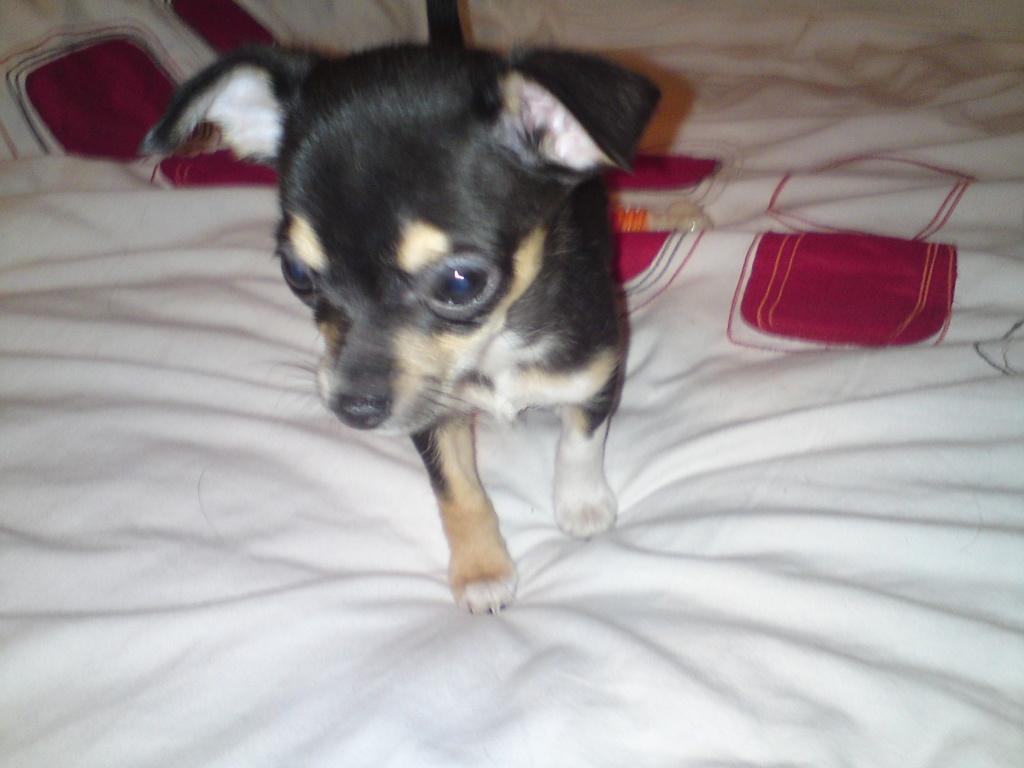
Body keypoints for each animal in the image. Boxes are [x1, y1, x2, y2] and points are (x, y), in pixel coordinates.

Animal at [141, 23, 659, 612]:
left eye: (460, 283)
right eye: (297, 273)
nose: (353, 408)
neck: (493, 345)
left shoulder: (595, 370)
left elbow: (580, 440)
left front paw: (582, 504)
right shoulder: (430, 417)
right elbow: (457, 492)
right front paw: (481, 569)